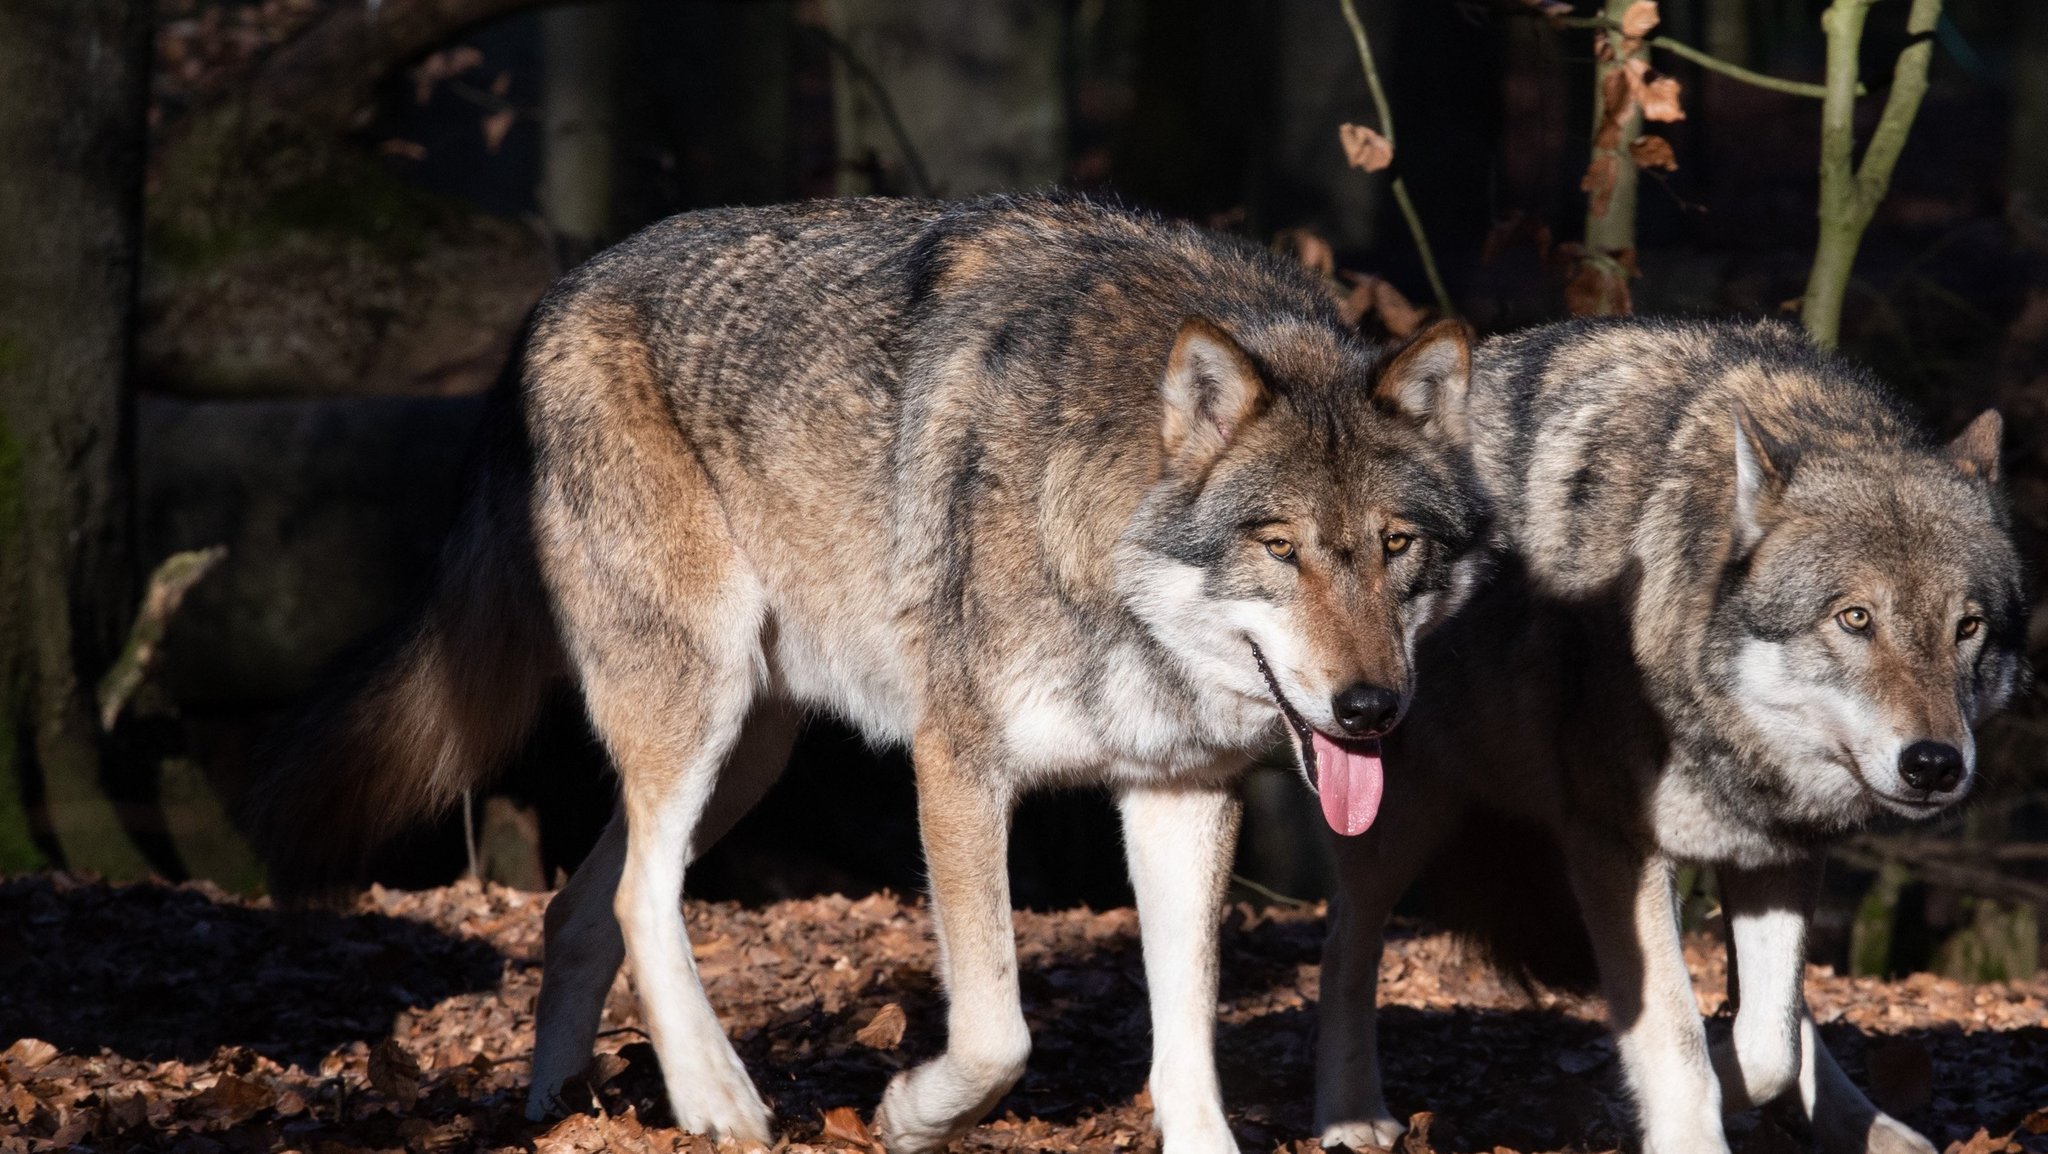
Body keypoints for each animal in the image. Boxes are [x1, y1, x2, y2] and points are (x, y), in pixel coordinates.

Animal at [256, 193, 1499, 1147]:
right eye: (1279, 546)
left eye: (1395, 545)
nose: (1369, 707)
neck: (1098, 542)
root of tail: (553, 299)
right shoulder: (954, 766)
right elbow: (997, 1030)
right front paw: (910, 1112)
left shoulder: (1179, 789)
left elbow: (1184, 1037)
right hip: (698, 710)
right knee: (633, 889)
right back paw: (716, 1097)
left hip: (749, 753)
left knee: (575, 907)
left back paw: (555, 1109)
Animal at [1318, 319, 2023, 1154]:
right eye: (1855, 618)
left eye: (1967, 628)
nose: (1935, 765)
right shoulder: (1614, 848)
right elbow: (1678, 1039)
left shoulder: (1782, 850)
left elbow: (1768, 1045)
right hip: (1395, 823)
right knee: (1344, 950)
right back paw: (1350, 1115)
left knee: (1787, 1020)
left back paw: (1865, 1124)